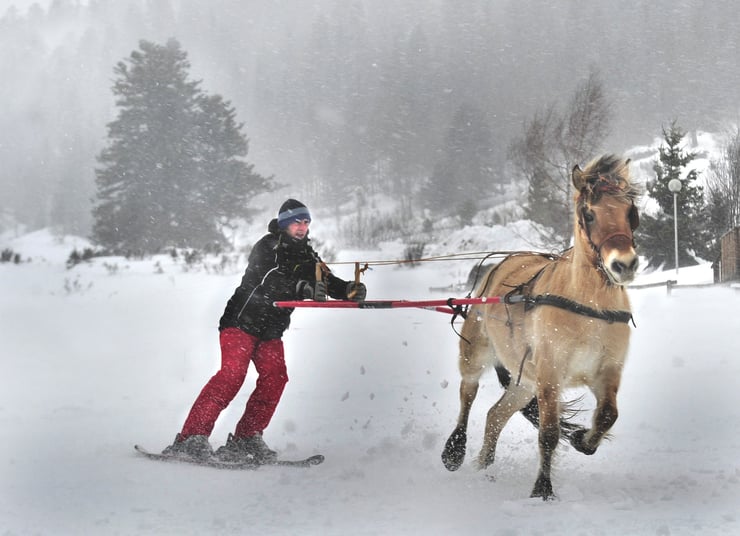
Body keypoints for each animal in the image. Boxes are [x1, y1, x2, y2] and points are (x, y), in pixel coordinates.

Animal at [441, 154, 640, 500]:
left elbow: (607, 415)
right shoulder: (550, 375)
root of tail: (498, 266)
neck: (589, 305)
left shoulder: (606, 371)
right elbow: (548, 433)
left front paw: (582, 440)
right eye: (589, 214)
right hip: (476, 353)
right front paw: (542, 490)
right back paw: (455, 450)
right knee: (468, 392)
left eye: (631, 212)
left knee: (495, 415)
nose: (624, 265)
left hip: (524, 383)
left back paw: (484, 465)